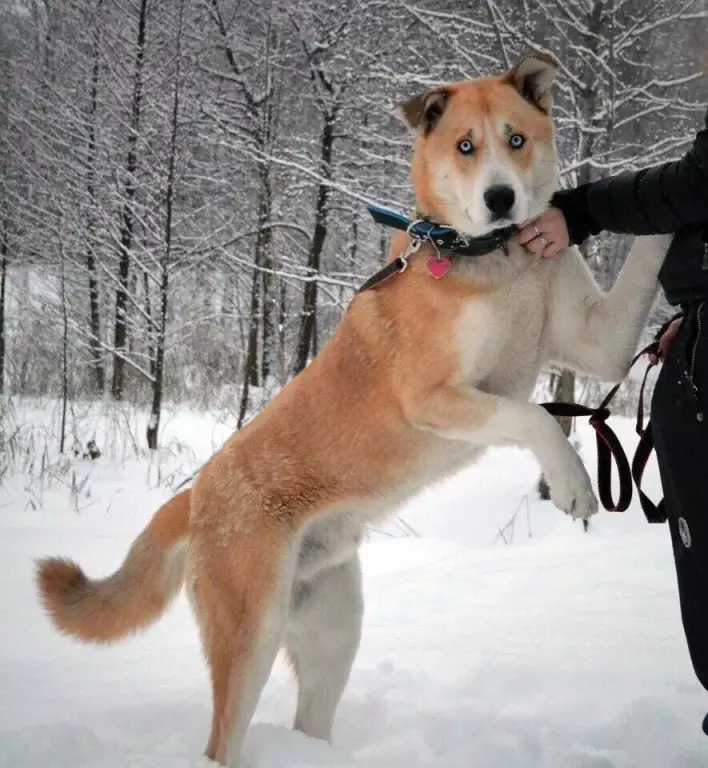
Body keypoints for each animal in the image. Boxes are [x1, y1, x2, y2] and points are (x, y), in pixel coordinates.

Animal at [36, 52, 668, 760]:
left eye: (516, 139)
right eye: (465, 147)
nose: (500, 199)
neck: (497, 264)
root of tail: (199, 495)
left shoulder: (600, 342)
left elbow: (643, 263)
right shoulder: (433, 396)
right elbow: (531, 416)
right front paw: (573, 483)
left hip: (333, 631)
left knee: (310, 717)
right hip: (249, 637)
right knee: (221, 740)